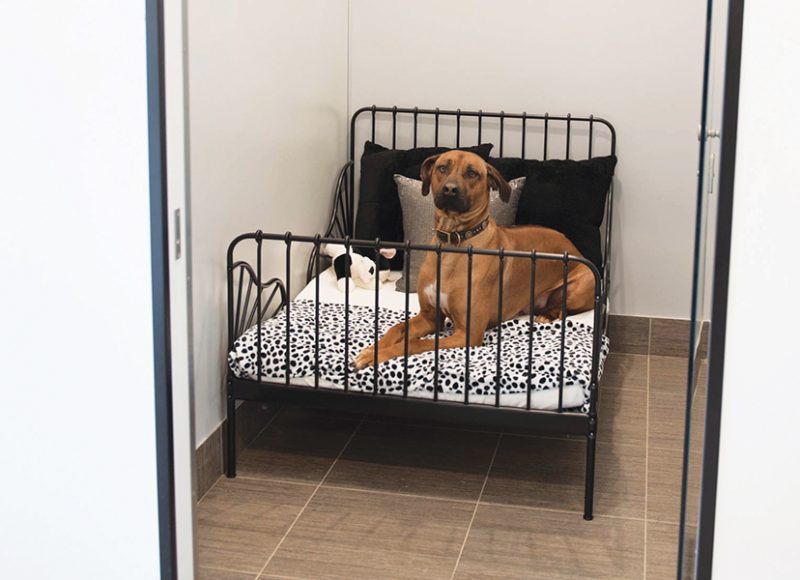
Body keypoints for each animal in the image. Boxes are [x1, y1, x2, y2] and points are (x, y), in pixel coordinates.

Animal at [354, 150, 596, 368]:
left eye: (472, 173)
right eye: (443, 168)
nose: (450, 189)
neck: (453, 244)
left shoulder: (468, 334)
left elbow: (414, 344)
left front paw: (378, 355)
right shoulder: (430, 317)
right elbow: (397, 328)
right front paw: (372, 350)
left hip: (579, 286)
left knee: (563, 308)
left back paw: (546, 316)